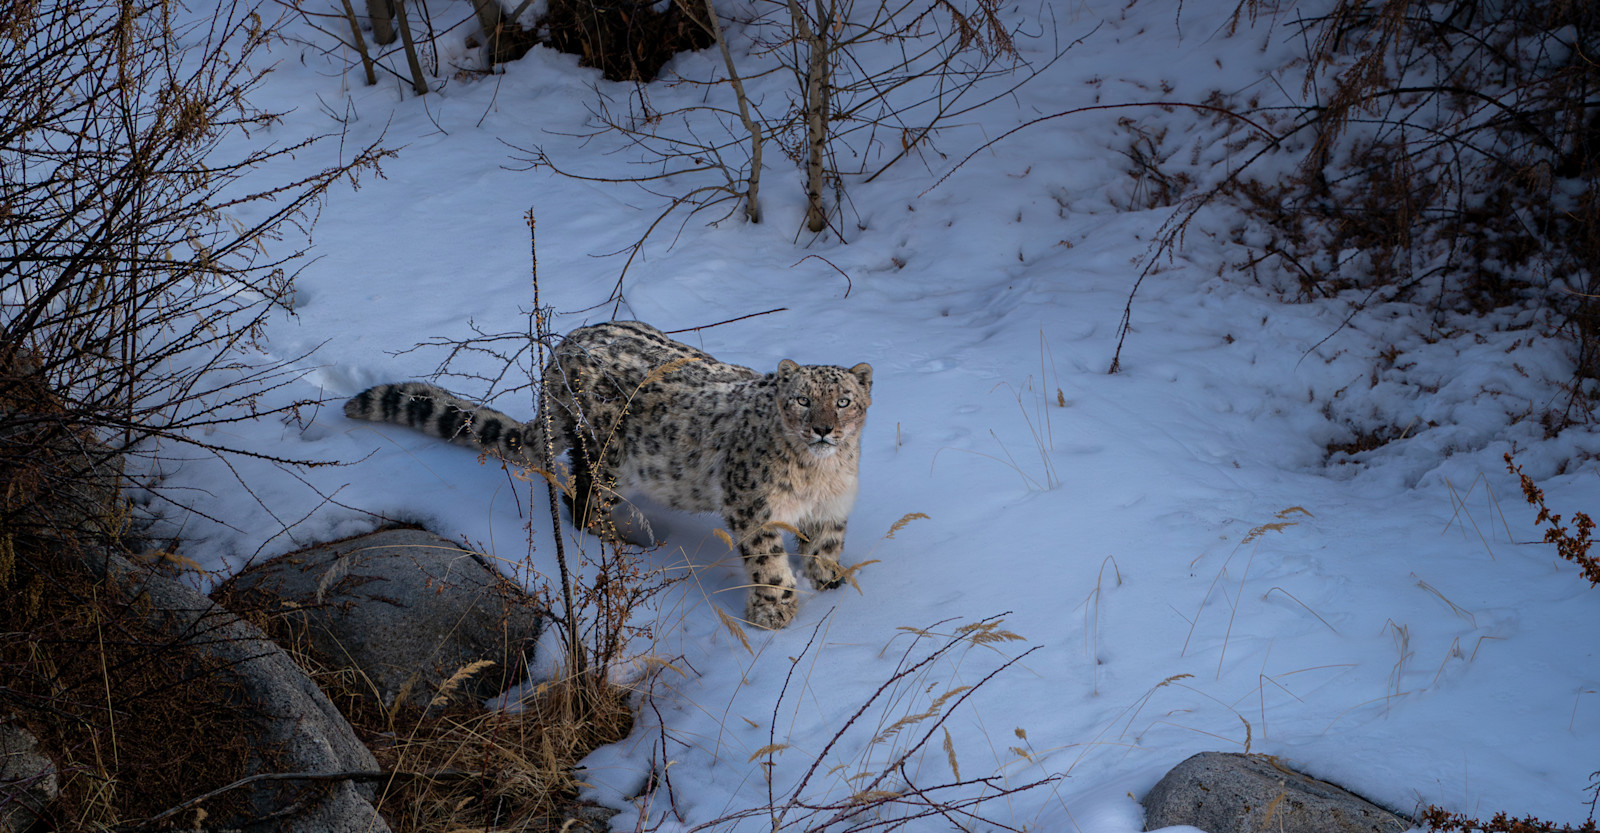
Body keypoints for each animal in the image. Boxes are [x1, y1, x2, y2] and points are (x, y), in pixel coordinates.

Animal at [343, 320, 873, 630]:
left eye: (844, 400)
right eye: (802, 400)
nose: (823, 428)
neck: (819, 475)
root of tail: (562, 348)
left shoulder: (832, 506)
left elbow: (826, 544)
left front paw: (829, 580)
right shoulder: (753, 505)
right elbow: (767, 559)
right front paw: (776, 609)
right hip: (605, 453)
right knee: (581, 502)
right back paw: (631, 540)